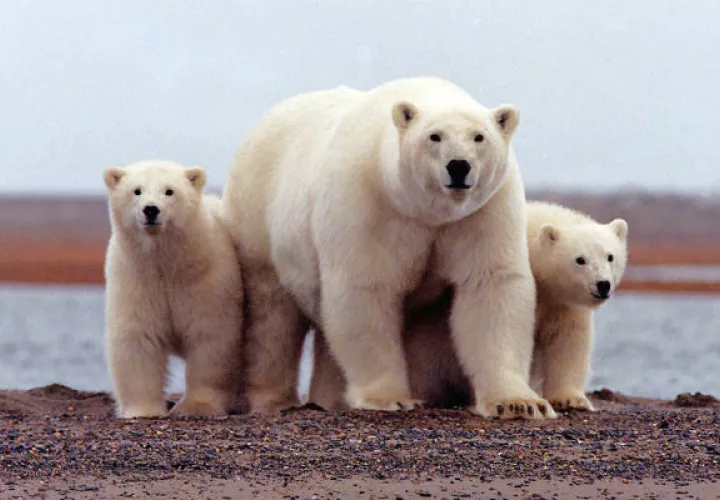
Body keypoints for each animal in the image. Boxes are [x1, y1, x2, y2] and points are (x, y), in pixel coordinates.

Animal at [103, 160, 243, 419]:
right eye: (137, 190)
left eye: (169, 191)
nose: (150, 210)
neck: (167, 263)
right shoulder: (136, 278)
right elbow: (138, 337)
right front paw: (143, 410)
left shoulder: (205, 279)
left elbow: (210, 337)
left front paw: (197, 407)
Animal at [222, 76, 554, 419]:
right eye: (434, 136)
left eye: (479, 137)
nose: (459, 166)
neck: (426, 212)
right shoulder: (369, 203)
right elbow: (366, 289)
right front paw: (390, 398)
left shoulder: (483, 211)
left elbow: (490, 285)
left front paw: (518, 403)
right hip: (258, 219)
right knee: (272, 316)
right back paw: (273, 400)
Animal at [309, 201, 629, 412]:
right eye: (580, 259)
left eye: (610, 256)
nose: (602, 285)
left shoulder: (562, 303)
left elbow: (568, 341)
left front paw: (571, 399)